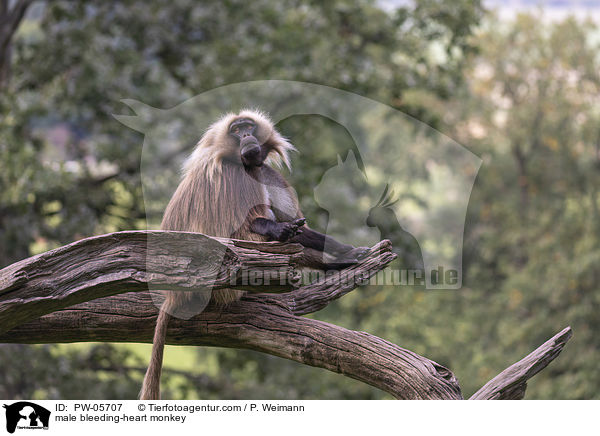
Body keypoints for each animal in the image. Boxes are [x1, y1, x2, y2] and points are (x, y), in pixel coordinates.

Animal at [139, 109, 370, 398]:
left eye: (248, 126)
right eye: (236, 130)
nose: (247, 135)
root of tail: (174, 295)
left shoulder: (265, 171)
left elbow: (296, 225)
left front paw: (342, 253)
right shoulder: (234, 175)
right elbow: (247, 226)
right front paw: (284, 231)